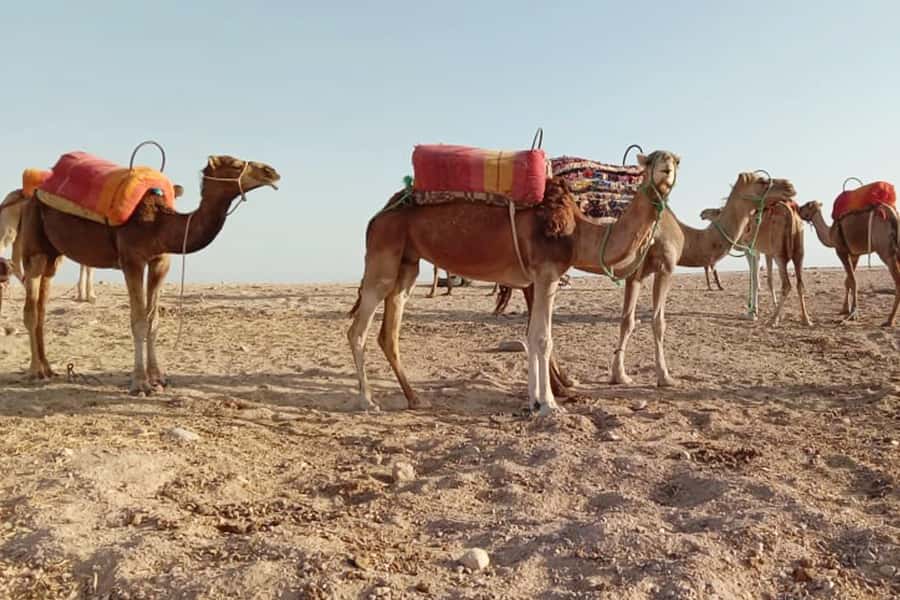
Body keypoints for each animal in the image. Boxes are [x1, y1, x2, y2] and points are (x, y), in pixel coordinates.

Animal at [14, 155, 280, 393]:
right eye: (235, 163)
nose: (271, 172)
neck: (159, 225)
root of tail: (36, 191)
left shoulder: (160, 262)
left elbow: (154, 320)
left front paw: (158, 377)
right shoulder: (132, 261)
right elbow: (139, 320)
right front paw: (140, 383)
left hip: (53, 255)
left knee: (42, 307)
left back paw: (48, 368)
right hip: (34, 245)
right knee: (31, 309)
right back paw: (35, 371)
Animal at [348, 150, 680, 415]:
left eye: (676, 159)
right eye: (652, 159)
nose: (666, 168)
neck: (577, 232)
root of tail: (378, 215)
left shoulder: (541, 278)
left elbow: (533, 336)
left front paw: (536, 401)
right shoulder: (546, 274)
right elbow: (543, 338)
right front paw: (550, 405)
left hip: (407, 263)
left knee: (389, 333)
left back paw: (415, 398)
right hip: (383, 254)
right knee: (358, 330)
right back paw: (367, 401)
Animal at [498, 172, 797, 393]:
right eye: (762, 180)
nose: (790, 186)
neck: (685, 236)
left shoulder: (636, 275)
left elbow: (627, 321)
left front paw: (618, 375)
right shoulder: (666, 267)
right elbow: (657, 321)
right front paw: (665, 377)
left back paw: (564, 381)